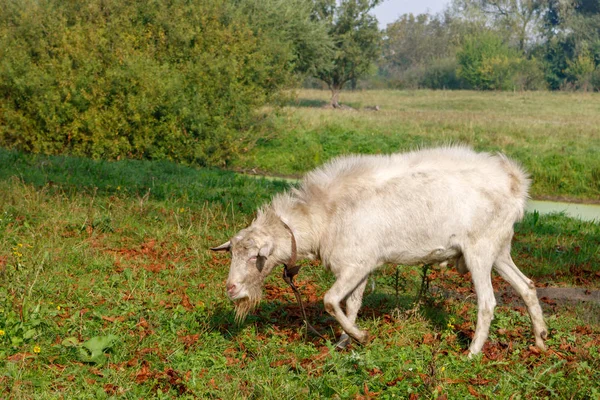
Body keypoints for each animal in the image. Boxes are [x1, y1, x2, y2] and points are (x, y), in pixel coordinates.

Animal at [212, 147, 548, 356]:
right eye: (233, 253)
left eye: (256, 257)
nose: (230, 289)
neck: (322, 215)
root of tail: (514, 183)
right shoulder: (358, 265)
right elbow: (351, 305)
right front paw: (344, 343)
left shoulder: (358, 264)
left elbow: (330, 300)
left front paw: (360, 336)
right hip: (499, 250)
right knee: (527, 287)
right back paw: (541, 341)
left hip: (479, 250)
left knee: (488, 302)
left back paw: (473, 352)